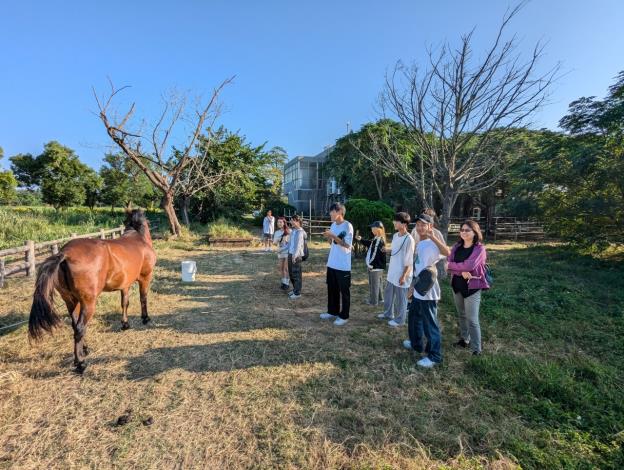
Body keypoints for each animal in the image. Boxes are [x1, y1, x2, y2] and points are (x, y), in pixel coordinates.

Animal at [28, 211, 157, 372]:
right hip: (88, 302)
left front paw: (125, 324)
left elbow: (124, 303)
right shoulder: (145, 278)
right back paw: (80, 364)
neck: (138, 238)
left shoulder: (125, 285)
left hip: (71, 301)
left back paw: (84, 349)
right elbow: (143, 297)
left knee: (75, 325)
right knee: (80, 328)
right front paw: (145, 318)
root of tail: (65, 254)